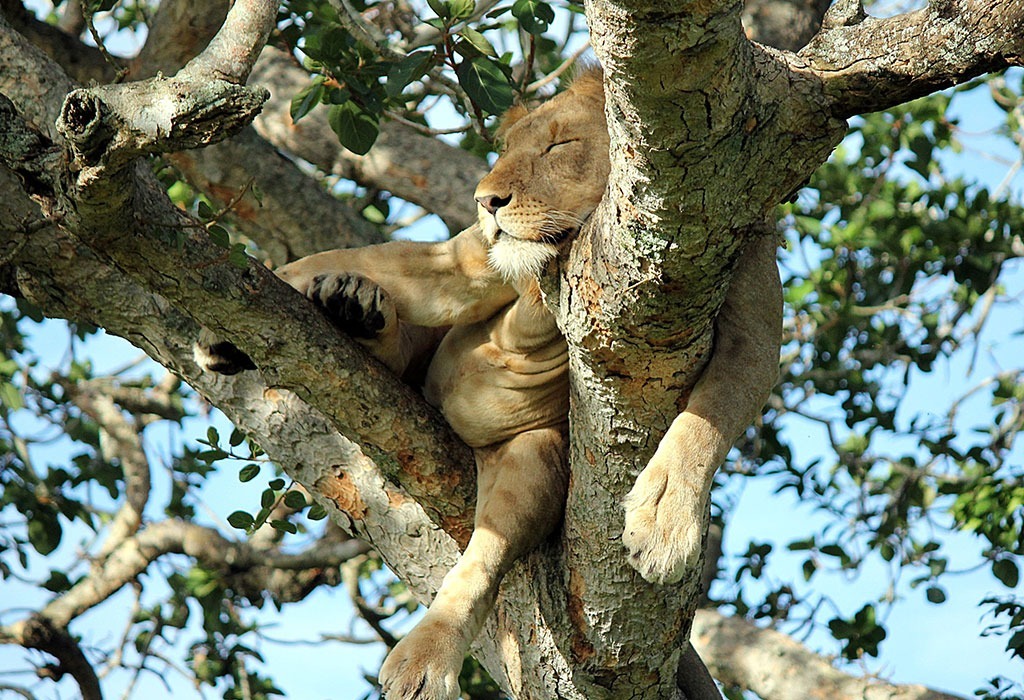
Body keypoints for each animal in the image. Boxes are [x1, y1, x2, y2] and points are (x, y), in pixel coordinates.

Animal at [196, 67, 781, 700]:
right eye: (507, 151)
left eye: (559, 145)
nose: (487, 200)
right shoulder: (465, 260)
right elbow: (358, 255)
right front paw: (221, 327)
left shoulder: (752, 338)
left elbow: (706, 423)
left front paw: (665, 521)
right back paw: (351, 306)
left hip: (534, 456)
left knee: (484, 555)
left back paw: (425, 659)